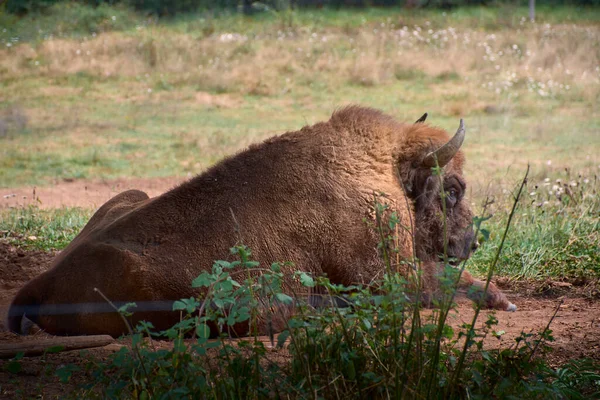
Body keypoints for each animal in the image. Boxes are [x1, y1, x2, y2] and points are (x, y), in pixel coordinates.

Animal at [7, 106, 516, 338]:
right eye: (453, 189)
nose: (470, 243)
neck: (383, 171)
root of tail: (39, 284)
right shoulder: (391, 278)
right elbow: (445, 285)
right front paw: (501, 298)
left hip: (127, 197)